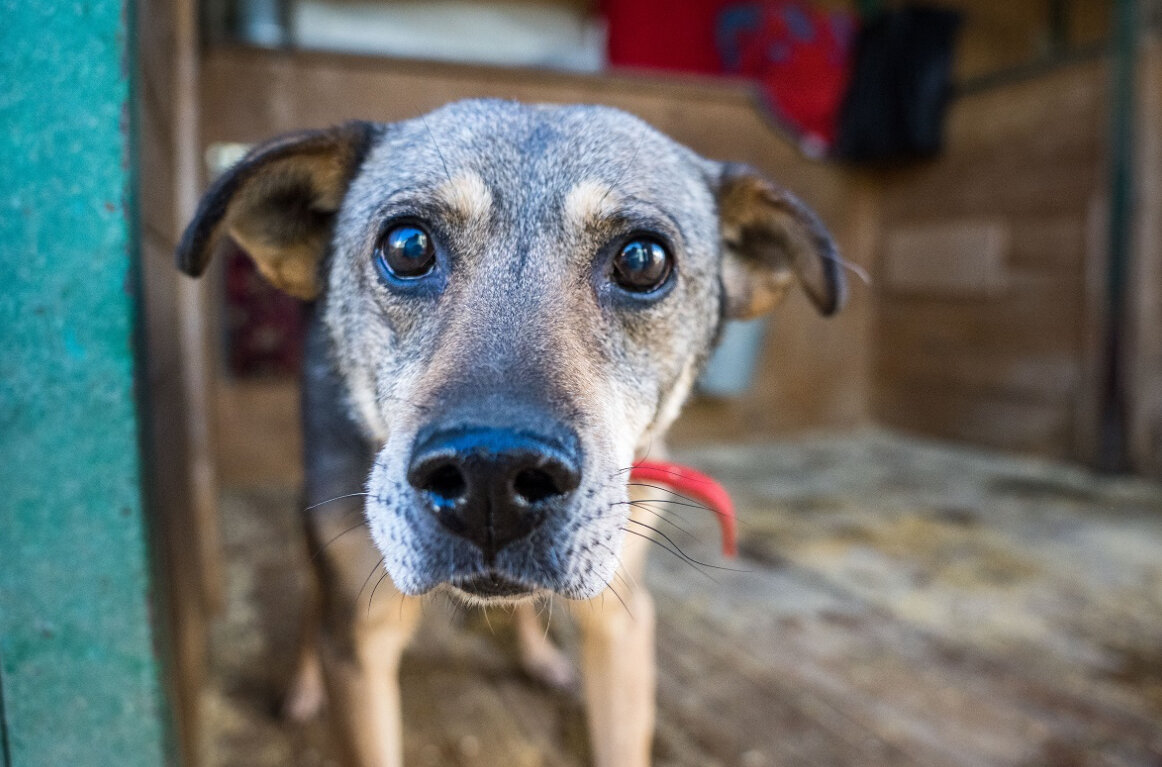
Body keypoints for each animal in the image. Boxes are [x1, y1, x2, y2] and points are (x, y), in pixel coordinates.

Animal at [176, 98, 841, 762]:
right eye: (408, 246)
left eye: (641, 260)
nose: (489, 477)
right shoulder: (362, 642)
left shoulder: (621, 621)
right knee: (313, 599)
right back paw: (303, 684)